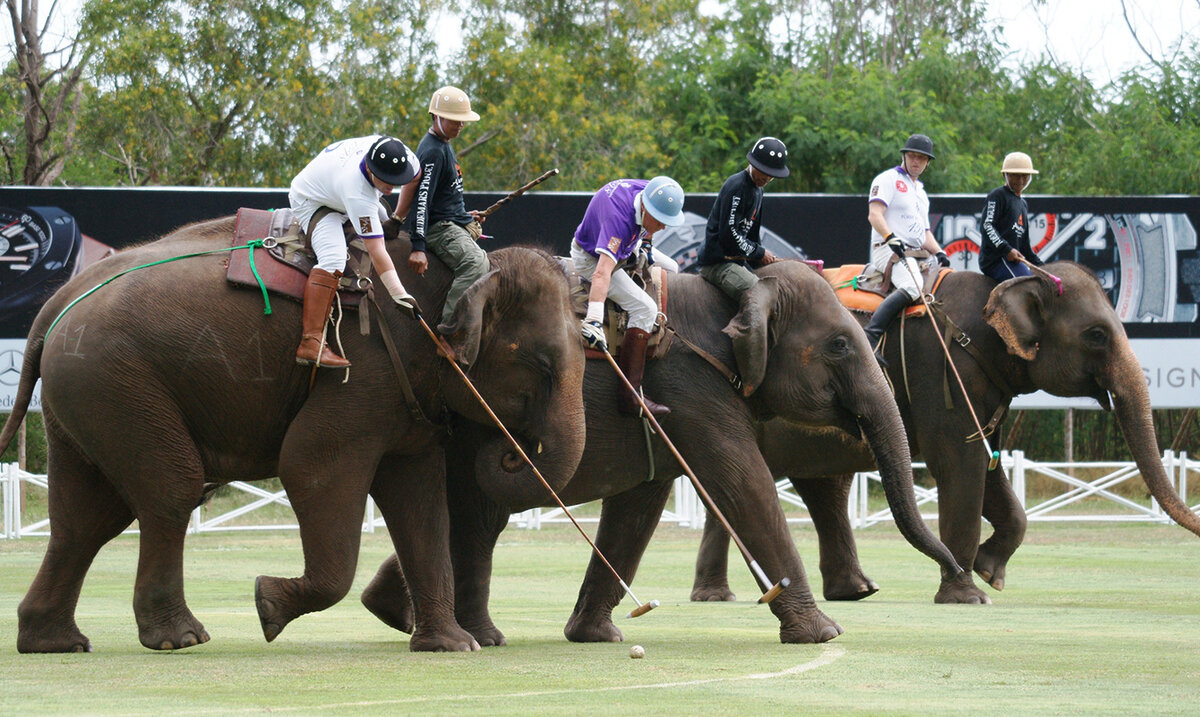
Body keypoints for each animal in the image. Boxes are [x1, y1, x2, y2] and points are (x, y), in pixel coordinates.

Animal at [0, 215, 585, 657]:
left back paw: (54, 643)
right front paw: (266, 605)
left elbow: (420, 500)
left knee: (87, 517)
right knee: (170, 491)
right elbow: (310, 466)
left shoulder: (407, 394)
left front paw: (452, 647)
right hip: (117, 382)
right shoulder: (362, 367)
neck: (462, 271)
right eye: (541, 366)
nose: (510, 452)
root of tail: (56, 305)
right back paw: (180, 639)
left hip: (87, 395)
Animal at [355, 261, 974, 647]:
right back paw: (461, 633)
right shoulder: (691, 386)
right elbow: (743, 483)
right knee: (476, 516)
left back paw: (401, 616)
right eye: (840, 345)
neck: (740, 291)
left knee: (475, 520)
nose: (958, 574)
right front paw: (825, 634)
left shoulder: (668, 407)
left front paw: (597, 636)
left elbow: (640, 506)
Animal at [686, 261, 1200, 604]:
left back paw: (851, 591)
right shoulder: (944, 369)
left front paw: (991, 574)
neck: (1003, 285)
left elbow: (989, 469)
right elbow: (960, 463)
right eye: (1096, 334)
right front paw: (969, 594)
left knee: (820, 487)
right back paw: (722, 597)